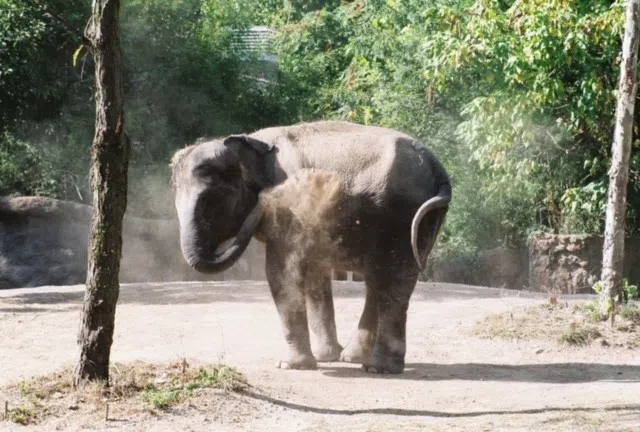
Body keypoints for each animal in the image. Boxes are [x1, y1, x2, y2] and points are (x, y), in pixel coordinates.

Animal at [170, 120, 450, 372]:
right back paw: (354, 358)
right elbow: (315, 276)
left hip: (402, 216)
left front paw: (289, 365)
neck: (251, 139)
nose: (263, 202)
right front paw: (326, 358)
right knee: (380, 280)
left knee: (394, 282)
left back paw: (378, 368)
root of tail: (439, 169)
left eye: (209, 201)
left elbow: (280, 271)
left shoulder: (290, 210)